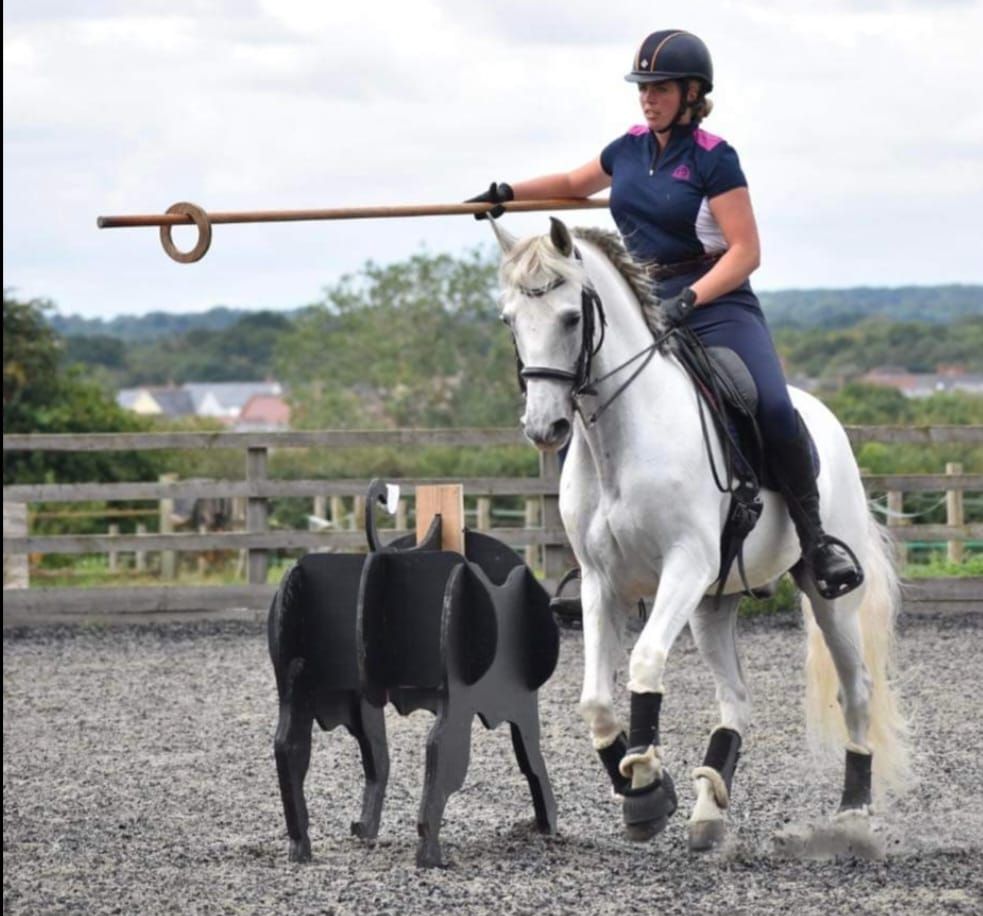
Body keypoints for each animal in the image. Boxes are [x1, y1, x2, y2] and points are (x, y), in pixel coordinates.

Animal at [496, 218, 912, 848]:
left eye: (571, 317)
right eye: (510, 320)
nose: (546, 427)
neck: (623, 437)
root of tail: (825, 417)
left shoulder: (685, 565)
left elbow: (645, 664)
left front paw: (645, 785)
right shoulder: (601, 582)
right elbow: (594, 700)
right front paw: (640, 787)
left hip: (827, 598)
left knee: (857, 688)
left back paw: (852, 818)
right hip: (713, 604)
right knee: (736, 699)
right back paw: (709, 807)